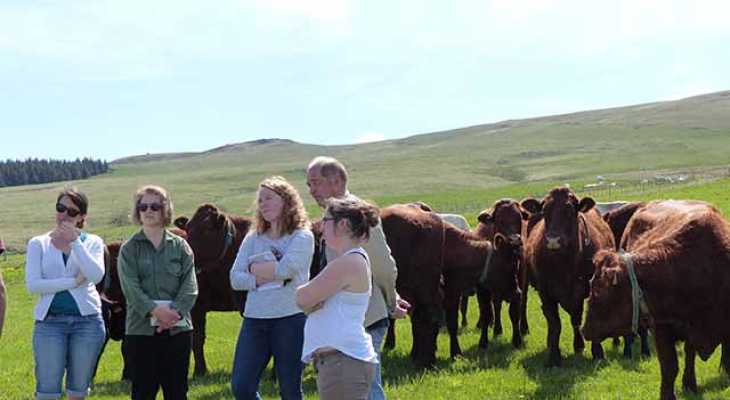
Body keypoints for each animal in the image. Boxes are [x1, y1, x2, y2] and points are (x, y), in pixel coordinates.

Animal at [378, 205, 520, 368]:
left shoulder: (452, 294)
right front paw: (420, 354)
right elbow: (421, 323)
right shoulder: (419, 293)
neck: (448, 250)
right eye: (511, 264)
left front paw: (455, 353)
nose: (517, 292)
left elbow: (451, 323)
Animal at [520, 186, 612, 368]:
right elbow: (555, 324)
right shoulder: (546, 292)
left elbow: (583, 318)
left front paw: (596, 352)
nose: (553, 240)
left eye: (569, 210)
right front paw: (554, 357)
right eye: (545, 211)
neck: (565, 264)